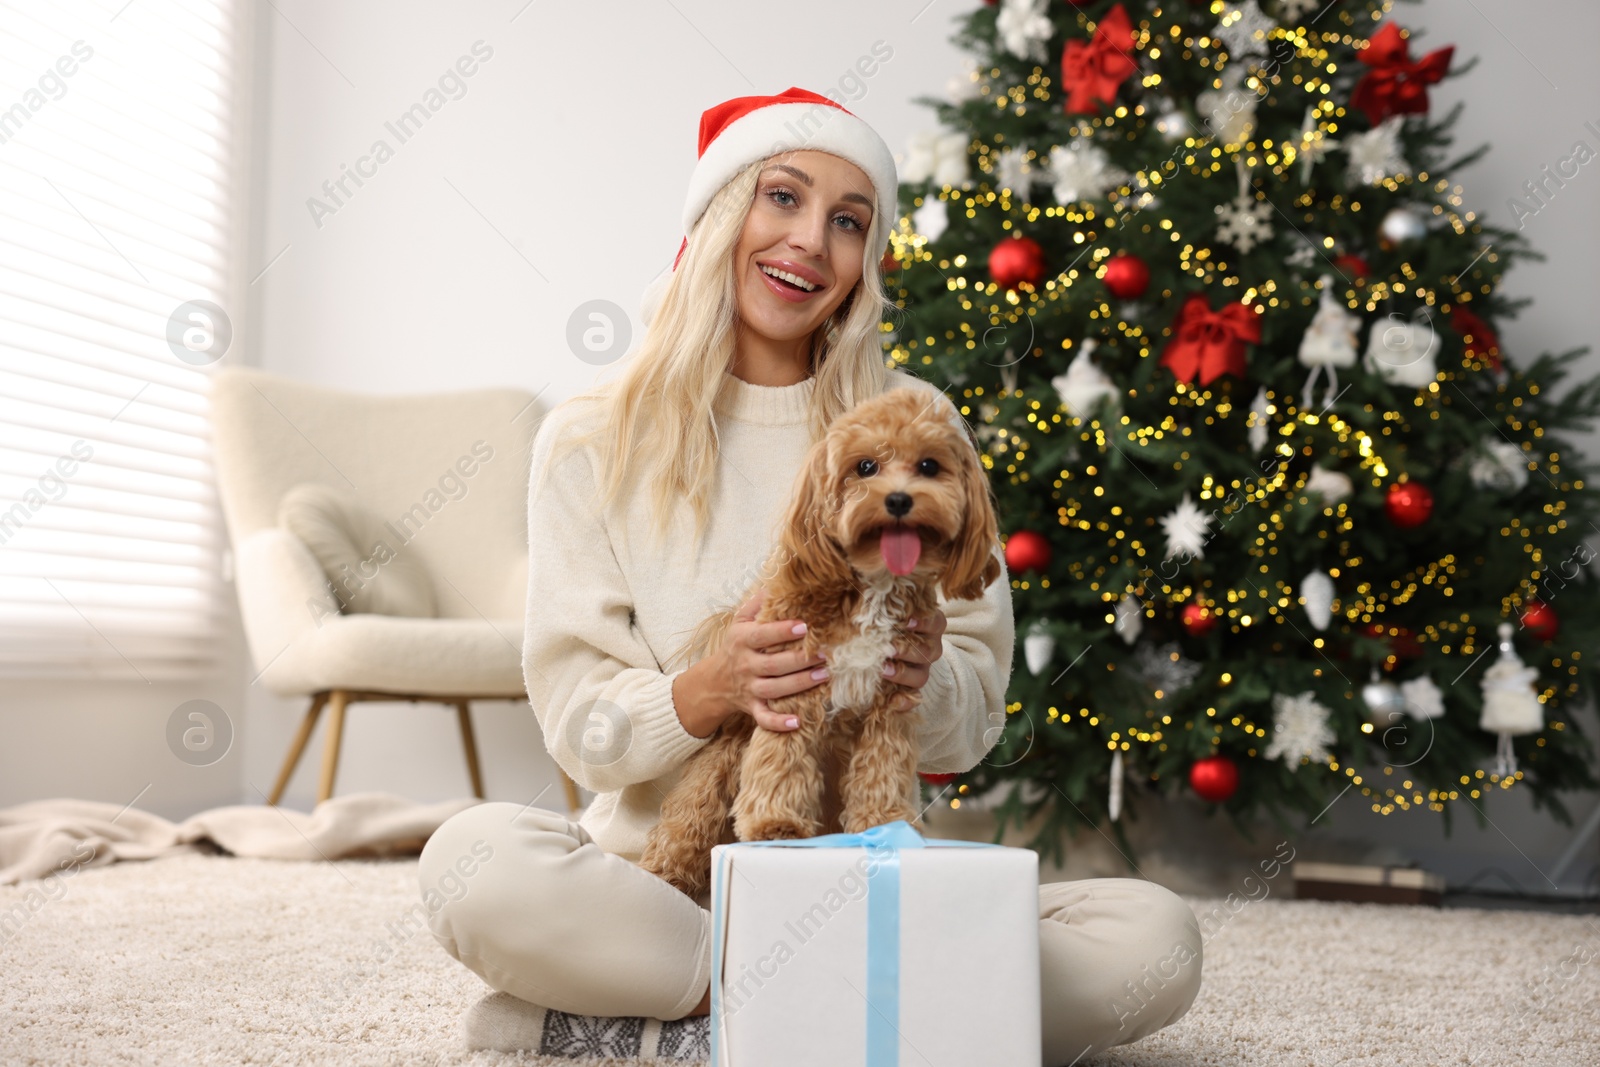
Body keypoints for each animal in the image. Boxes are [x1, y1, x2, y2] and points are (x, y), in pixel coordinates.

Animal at [636, 385, 998, 902]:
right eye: (865, 466)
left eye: (929, 466)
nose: (899, 500)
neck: (874, 585)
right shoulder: (790, 692)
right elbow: (781, 761)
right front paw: (775, 825)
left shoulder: (890, 704)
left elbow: (883, 765)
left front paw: (884, 823)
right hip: (723, 757)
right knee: (690, 815)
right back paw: (665, 872)